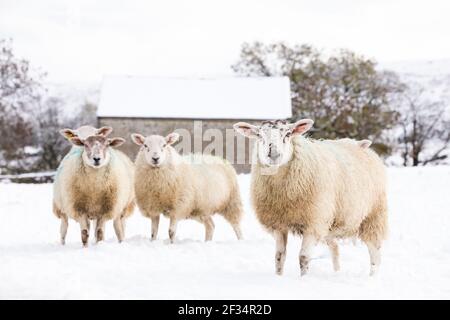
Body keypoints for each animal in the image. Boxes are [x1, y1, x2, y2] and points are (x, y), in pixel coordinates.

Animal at [236, 119, 386, 276]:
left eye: (288, 134)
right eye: (259, 135)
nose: (274, 154)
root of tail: (359, 144)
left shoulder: (313, 223)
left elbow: (303, 257)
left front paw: (304, 278)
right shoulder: (279, 225)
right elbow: (279, 257)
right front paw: (278, 277)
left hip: (373, 216)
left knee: (375, 254)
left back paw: (372, 276)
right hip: (329, 224)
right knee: (335, 249)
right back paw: (336, 272)